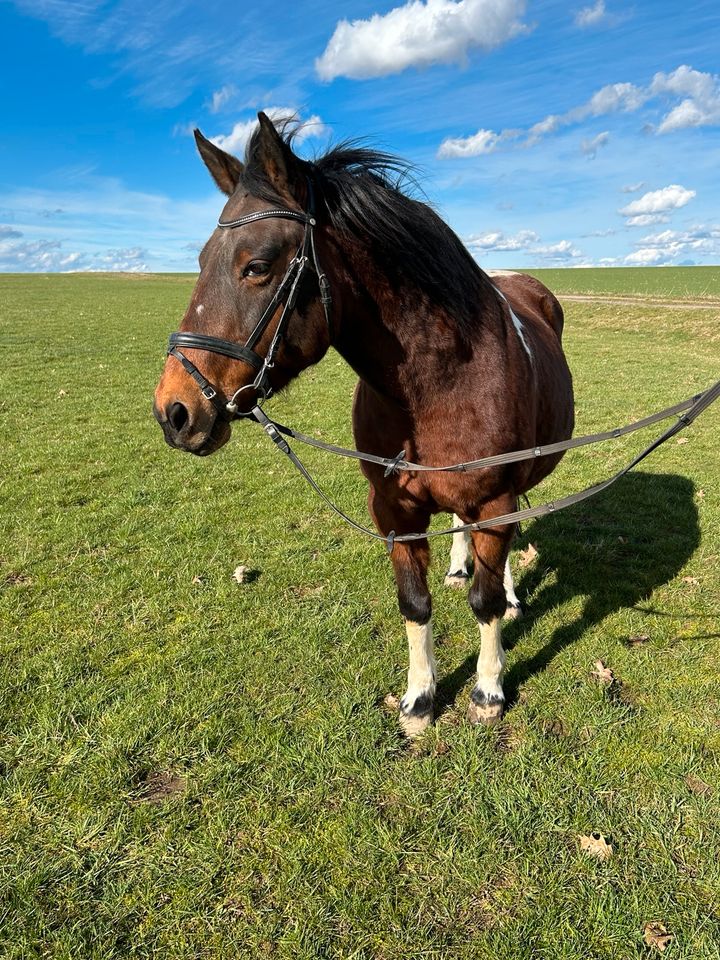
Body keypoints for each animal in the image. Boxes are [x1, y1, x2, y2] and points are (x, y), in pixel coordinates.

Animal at [152, 116, 572, 740]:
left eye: (257, 266)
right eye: (201, 260)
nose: (174, 411)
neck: (439, 384)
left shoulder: (494, 500)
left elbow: (487, 600)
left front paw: (488, 689)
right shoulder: (392, 511)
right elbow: (415, 604)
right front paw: (419, 699)